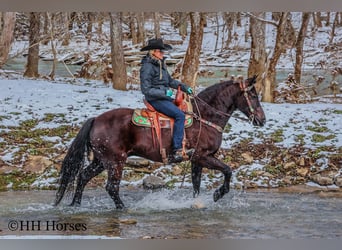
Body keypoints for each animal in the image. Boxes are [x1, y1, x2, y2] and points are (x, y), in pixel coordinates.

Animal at [54, 76, 266, 209]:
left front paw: (196, 203)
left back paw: (75, 204)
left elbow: (196, 184)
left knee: (83, 177)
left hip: (101, 161)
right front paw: (218, 194)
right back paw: (123, 208)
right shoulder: (203, 156)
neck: (205, 117)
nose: (262, 120)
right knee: (111, 187)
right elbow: (228, 171)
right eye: (253, 95)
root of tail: (96, 120)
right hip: (115, 162)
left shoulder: (197, 160)